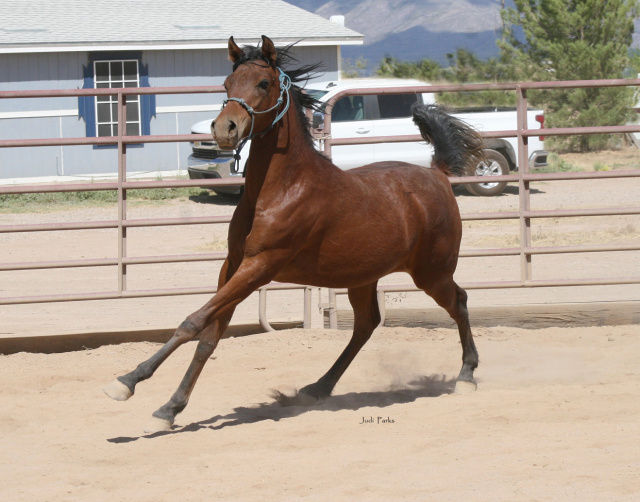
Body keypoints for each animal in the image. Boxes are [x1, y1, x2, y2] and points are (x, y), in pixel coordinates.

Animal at [105, 35, 482, 432]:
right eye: (226, 83)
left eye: (263, 83)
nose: (224, 130)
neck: (281, 189)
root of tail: (437, 174)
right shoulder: (233, 265)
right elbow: (210, 333)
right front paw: (170, 407)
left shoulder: (260, 266)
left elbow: (193, 321)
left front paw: (127, 383)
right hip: (363, 276)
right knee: (366, 325)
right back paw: (318, 388)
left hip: (431, 272)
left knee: (458, 301)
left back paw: (466, 376)